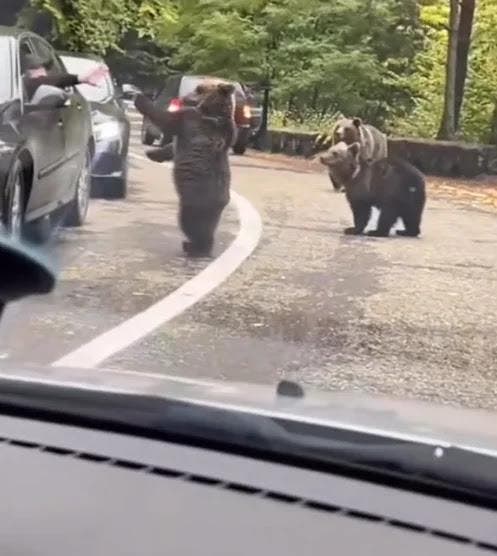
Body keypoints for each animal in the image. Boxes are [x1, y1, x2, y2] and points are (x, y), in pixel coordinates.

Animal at [134, 80, 236, 256]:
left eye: (199, 89)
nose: (184, 97)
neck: (213, 113)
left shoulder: (188, 119)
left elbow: (165, 120)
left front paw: (140, 98)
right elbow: (170, 146)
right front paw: (152, 153)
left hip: (195, 201)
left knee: (189, 223)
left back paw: (194, 246)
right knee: (208, 226)